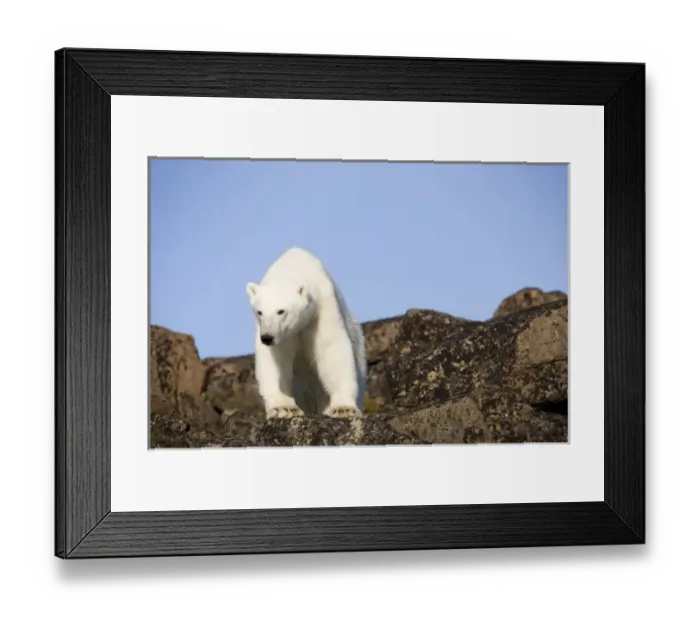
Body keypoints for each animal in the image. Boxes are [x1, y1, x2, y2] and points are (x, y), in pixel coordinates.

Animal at [245, 247, 367, 421]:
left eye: (281, 311)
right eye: (259, 312)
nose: (267, 337)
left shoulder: (323, 307)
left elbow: (332, 349)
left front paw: (343, 408)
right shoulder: (278, 334)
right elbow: (275, 358)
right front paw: (283, 408)